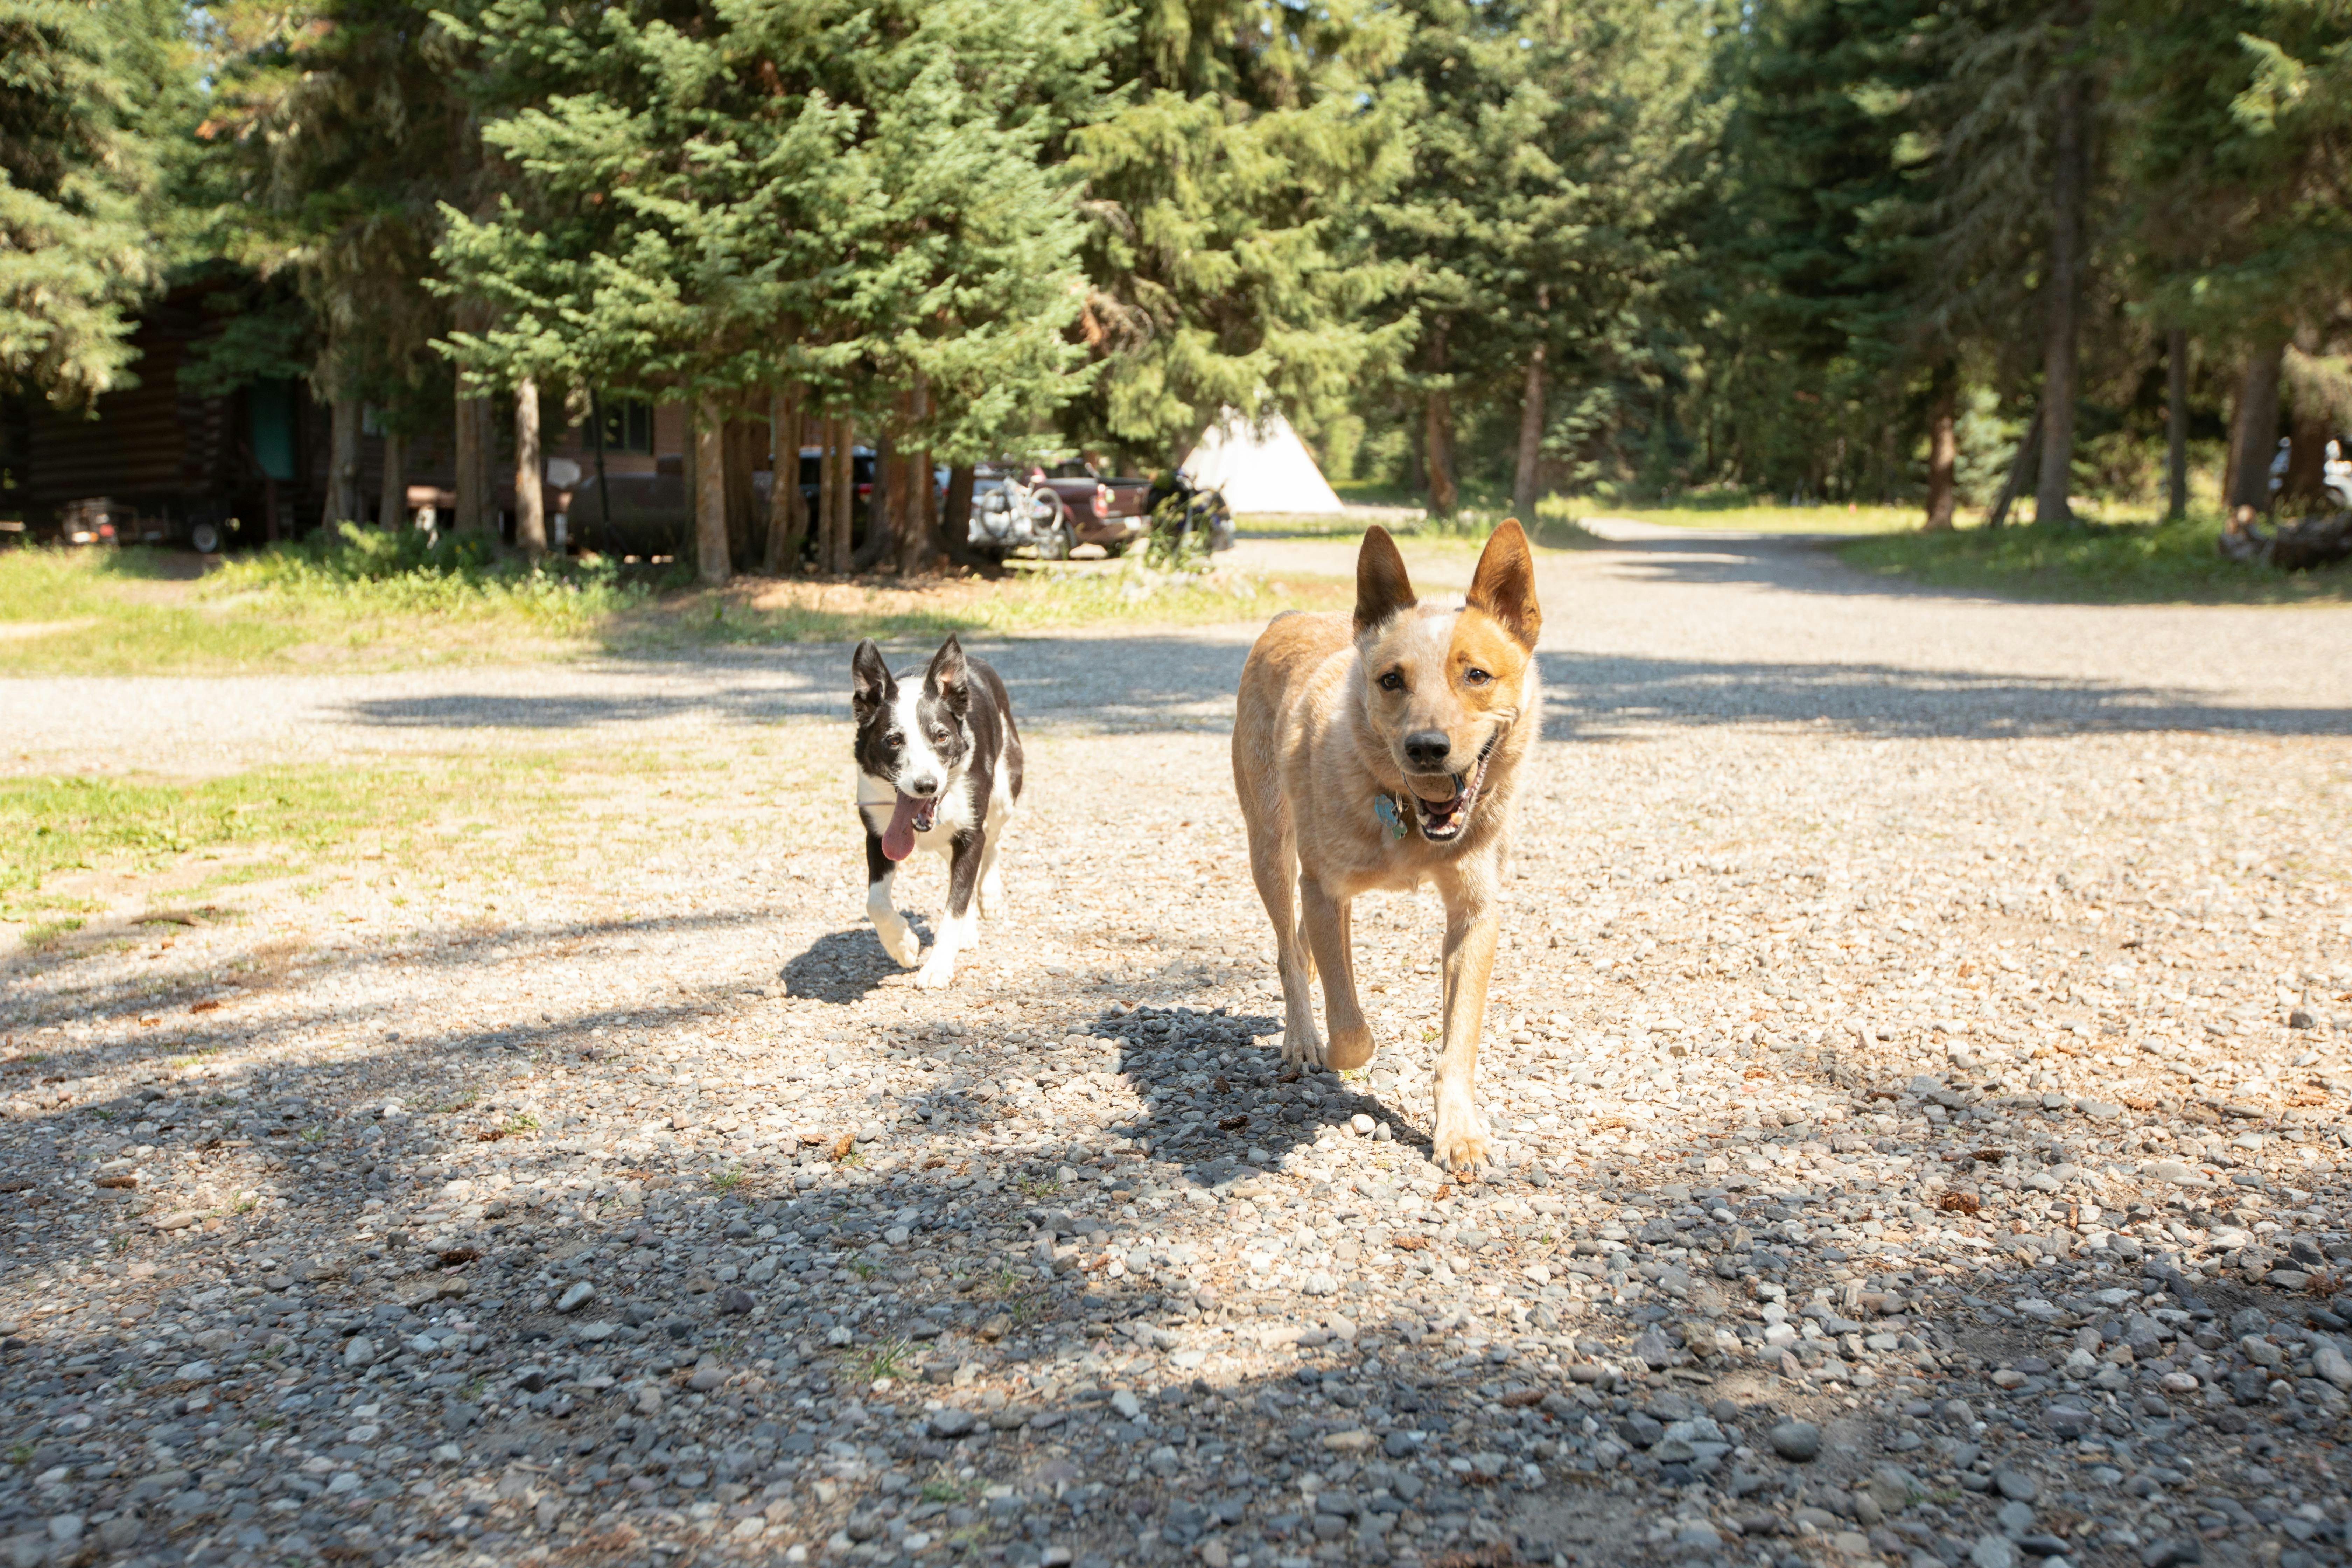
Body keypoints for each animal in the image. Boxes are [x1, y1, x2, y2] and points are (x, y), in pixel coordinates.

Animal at [856, 630, 1021, 987]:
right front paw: (903, 945)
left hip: (1005, 792)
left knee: (993, 842)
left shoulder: (970, 833)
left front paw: (938, 967)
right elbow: (876, 902)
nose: (926, 786)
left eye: (942, 736)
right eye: (894, 740)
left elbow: (955, 905)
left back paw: (990, 896)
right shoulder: (877, 834)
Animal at [1232, 522, 1543, 1170]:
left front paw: (1459, 1132)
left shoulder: (1476, 915)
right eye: (1391, 680)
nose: (1427, 748)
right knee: (1290, 953)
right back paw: (1303, 1039)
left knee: (1302, 945)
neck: (1408, 822)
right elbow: (1351, 1031)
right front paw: (1339, 1050)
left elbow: (1460, 1040)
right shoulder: (1324, 888)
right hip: (1270, 850)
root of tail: (1289, 616)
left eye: (1477, 675)